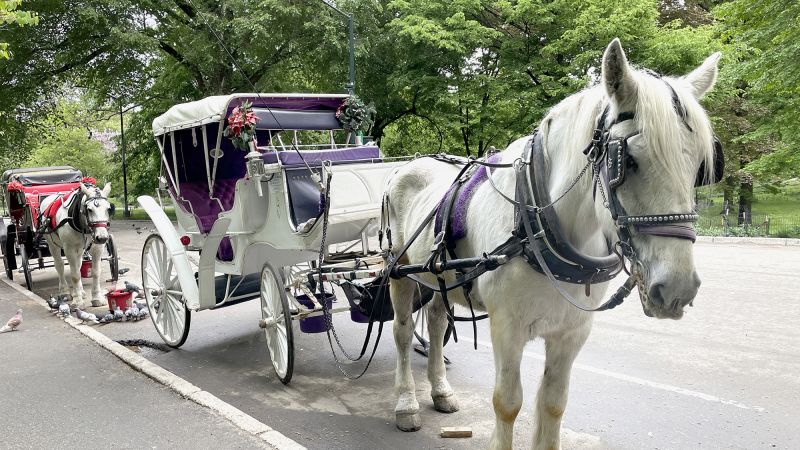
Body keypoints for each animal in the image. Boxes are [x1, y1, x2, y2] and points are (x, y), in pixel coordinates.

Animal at [384, 39, 721, 449]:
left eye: (699, 167)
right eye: (628, 161)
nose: (677, 288)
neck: (538, 224)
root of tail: (406, 165)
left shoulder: (571, 333)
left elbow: (553, 404)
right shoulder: (507, 328)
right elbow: (507, 403)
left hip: (440, 276)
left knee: (434, 322)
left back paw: (441, 391)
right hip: (400, 272)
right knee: (402, 333)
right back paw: (406, 404)